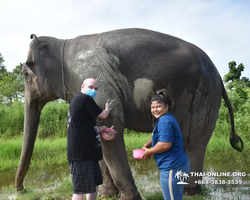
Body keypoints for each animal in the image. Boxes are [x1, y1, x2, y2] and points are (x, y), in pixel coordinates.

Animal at [15, 28, 242, 200]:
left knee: (193, 143)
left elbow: (112, 126)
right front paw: (106, 194)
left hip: (201, 94)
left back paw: (189, 192)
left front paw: (127, 198)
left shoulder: (93, 76)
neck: (62, 43)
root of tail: (219, 75)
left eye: (25, 73)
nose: (21, 189)